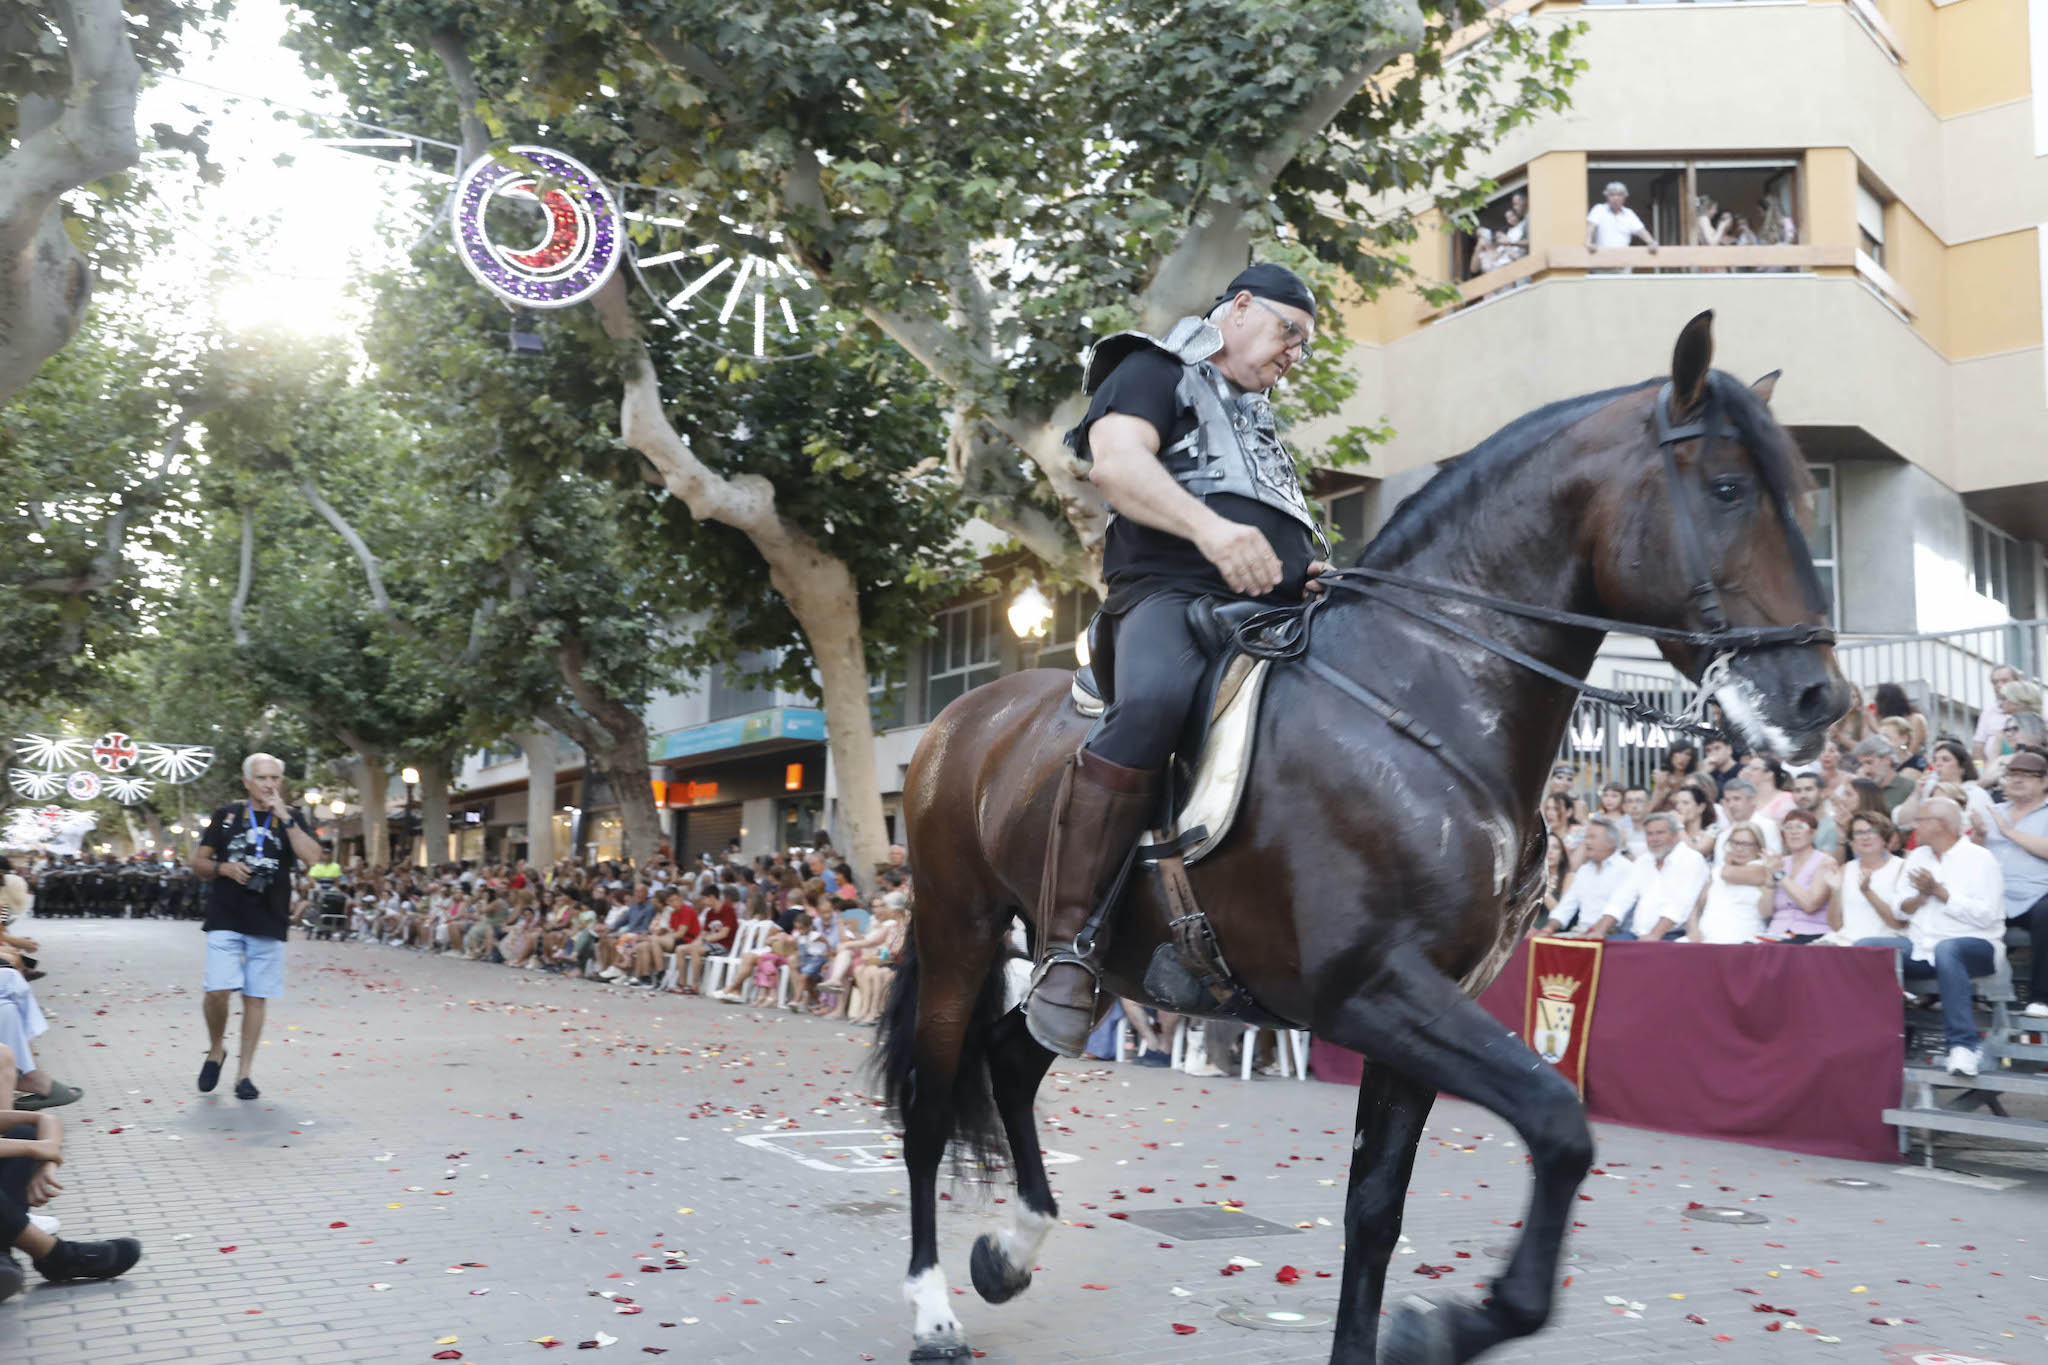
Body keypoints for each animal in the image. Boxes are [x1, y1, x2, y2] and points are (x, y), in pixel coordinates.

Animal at [872, 313, 1851, 1365]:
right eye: (1728, 488)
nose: (1817, 698)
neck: (1425, 691)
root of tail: (959, 722)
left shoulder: (1426, 1003)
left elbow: (1375, 1210)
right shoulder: (1372, 988)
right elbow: (1559, 1124)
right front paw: (1450, 1322)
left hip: (1087, 962)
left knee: (1013, 1059)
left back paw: (1010, 1251)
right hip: (960, 932)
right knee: (930, 1105)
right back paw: (933, 1308)